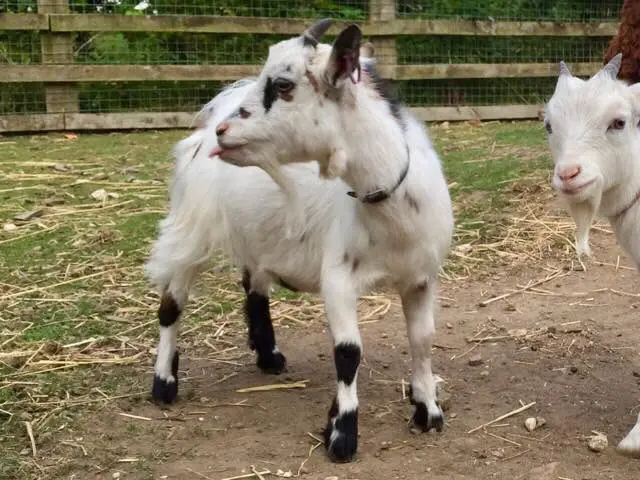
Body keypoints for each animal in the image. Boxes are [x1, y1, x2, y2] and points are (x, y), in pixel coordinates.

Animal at [145, 18, 456, 462]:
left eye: (283, 84)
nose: (225, 131)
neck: (390, 212)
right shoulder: (338, 278)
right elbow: (348, 352)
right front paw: (342, 435)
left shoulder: (421, 278)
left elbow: (423, 340)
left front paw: (427, 411)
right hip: (193, 228)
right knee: (172, 305)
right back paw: (164, 384)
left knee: (253, 284)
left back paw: (268, 356)